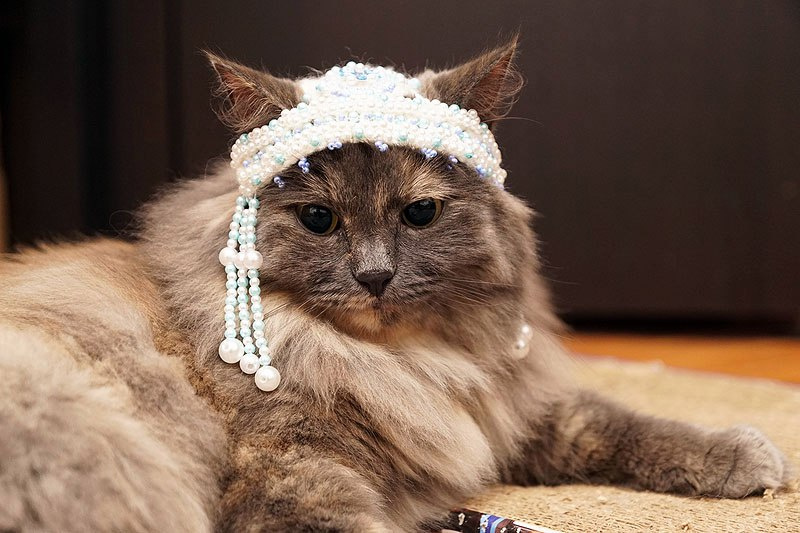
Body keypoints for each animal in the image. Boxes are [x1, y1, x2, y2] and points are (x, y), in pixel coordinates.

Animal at [0, 37, 792, 532]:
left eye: (420, 213)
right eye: (319, 219)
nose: (375, 276)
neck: (403, 363)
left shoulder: (498, 408)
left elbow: (615, 422)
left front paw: (744, 455)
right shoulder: (298, 474)